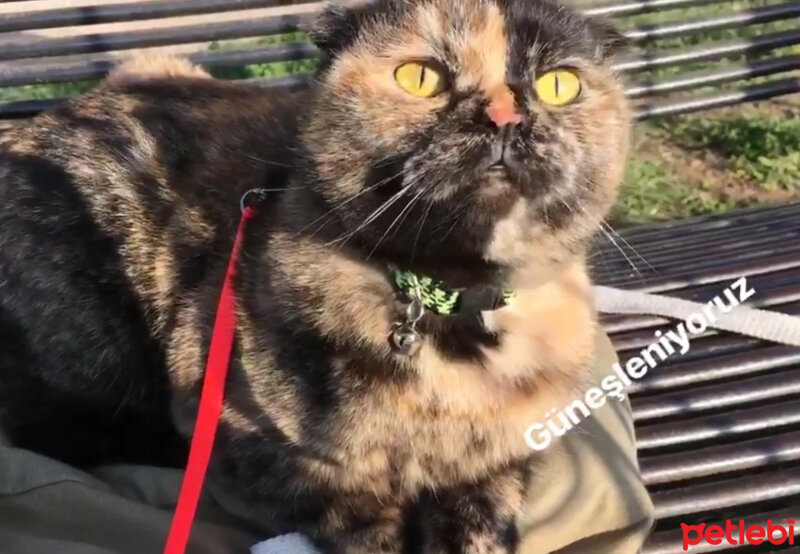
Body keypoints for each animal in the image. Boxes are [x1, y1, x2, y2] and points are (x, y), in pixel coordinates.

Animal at [0, 0, 632, 548]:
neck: (453, 305)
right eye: (420, 78)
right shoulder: (236, 428)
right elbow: (346, 508)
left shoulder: (513, 445)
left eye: (558, 85)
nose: (504, 117)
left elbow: (488, 498)